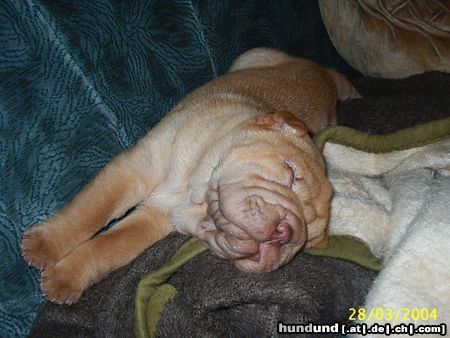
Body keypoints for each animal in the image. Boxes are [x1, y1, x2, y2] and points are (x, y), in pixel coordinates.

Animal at [21, 46, 360, 304]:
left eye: (302, 244)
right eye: (290, 173)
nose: (286, 233)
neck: (191, 189)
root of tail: (323, 72)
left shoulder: (152, 220)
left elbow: (110, 247)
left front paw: (67, 277)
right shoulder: (135, 169)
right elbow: (90, 211)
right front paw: (44, 245)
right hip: (249, 56)